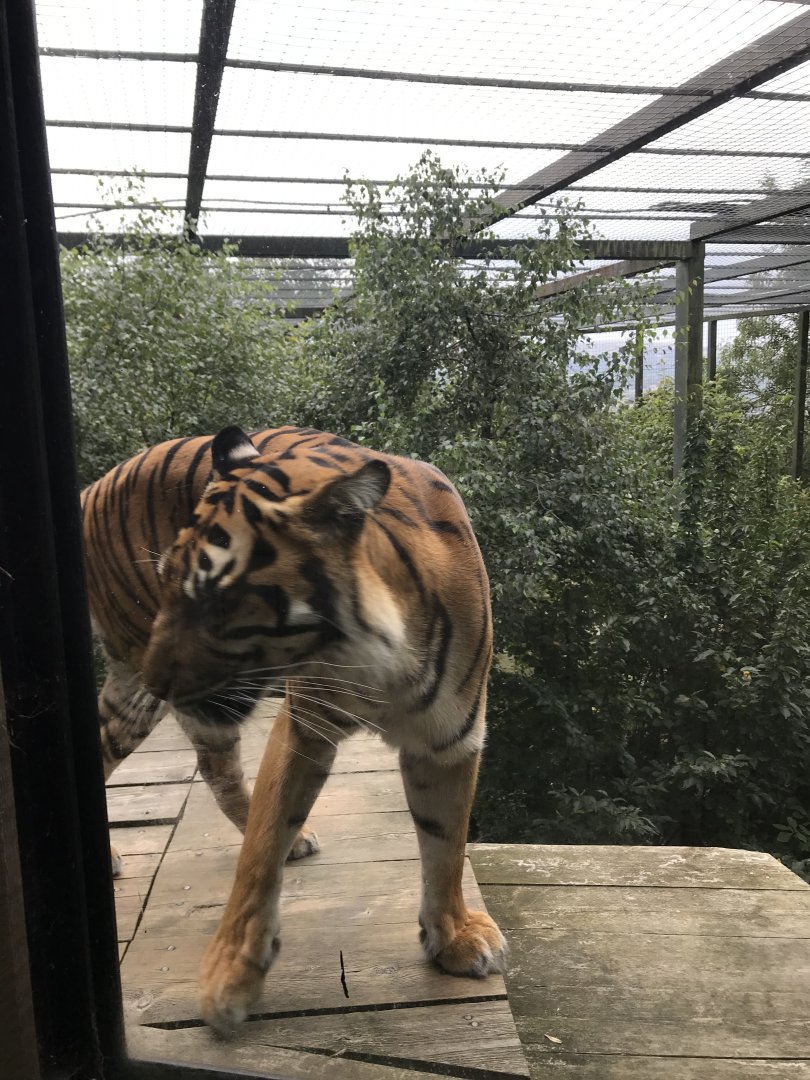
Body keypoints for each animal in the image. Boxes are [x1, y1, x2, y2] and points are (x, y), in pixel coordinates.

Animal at [82, 423, 506, 1033]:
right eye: (166, 582)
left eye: (217, 599)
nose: (158, 680)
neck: (385, 659)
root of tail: (92, 485)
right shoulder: (304, 729)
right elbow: (261, 850)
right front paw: (229, 975)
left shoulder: (448, 739)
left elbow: (445, 843)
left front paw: (452, 937)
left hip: (150, 702)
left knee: (196, 762)